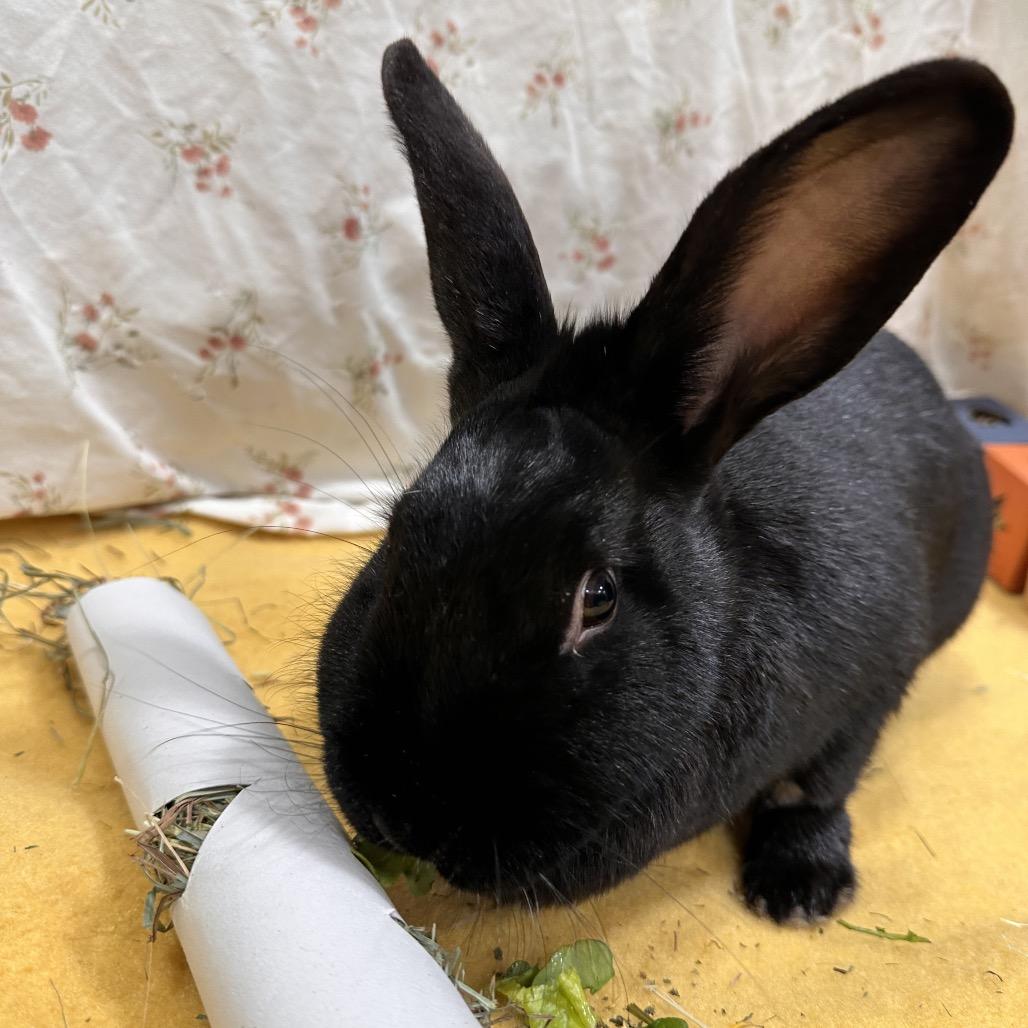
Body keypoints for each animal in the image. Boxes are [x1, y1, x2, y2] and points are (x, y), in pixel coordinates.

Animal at [317, 40, 1013, 923]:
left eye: (598, 596)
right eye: (399, 528)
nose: (406, 814)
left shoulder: (878, 677)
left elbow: (820, 782)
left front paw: (798, 889)